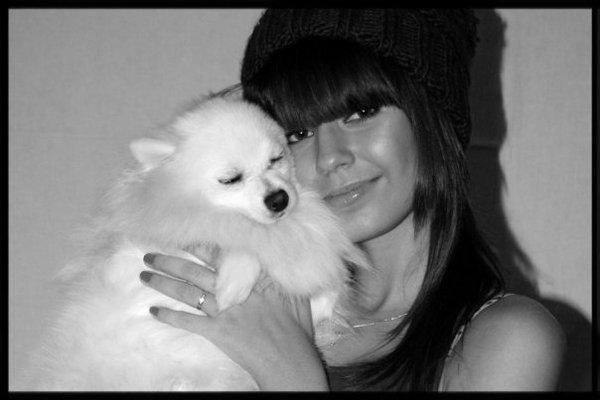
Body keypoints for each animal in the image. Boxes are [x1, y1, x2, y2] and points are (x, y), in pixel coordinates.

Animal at [15, 89, 370, 390]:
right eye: (231, 179)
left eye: (276, 158)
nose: (279, 199)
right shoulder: (143, 259)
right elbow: (235, 239)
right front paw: (234, 278)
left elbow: (317, 286)